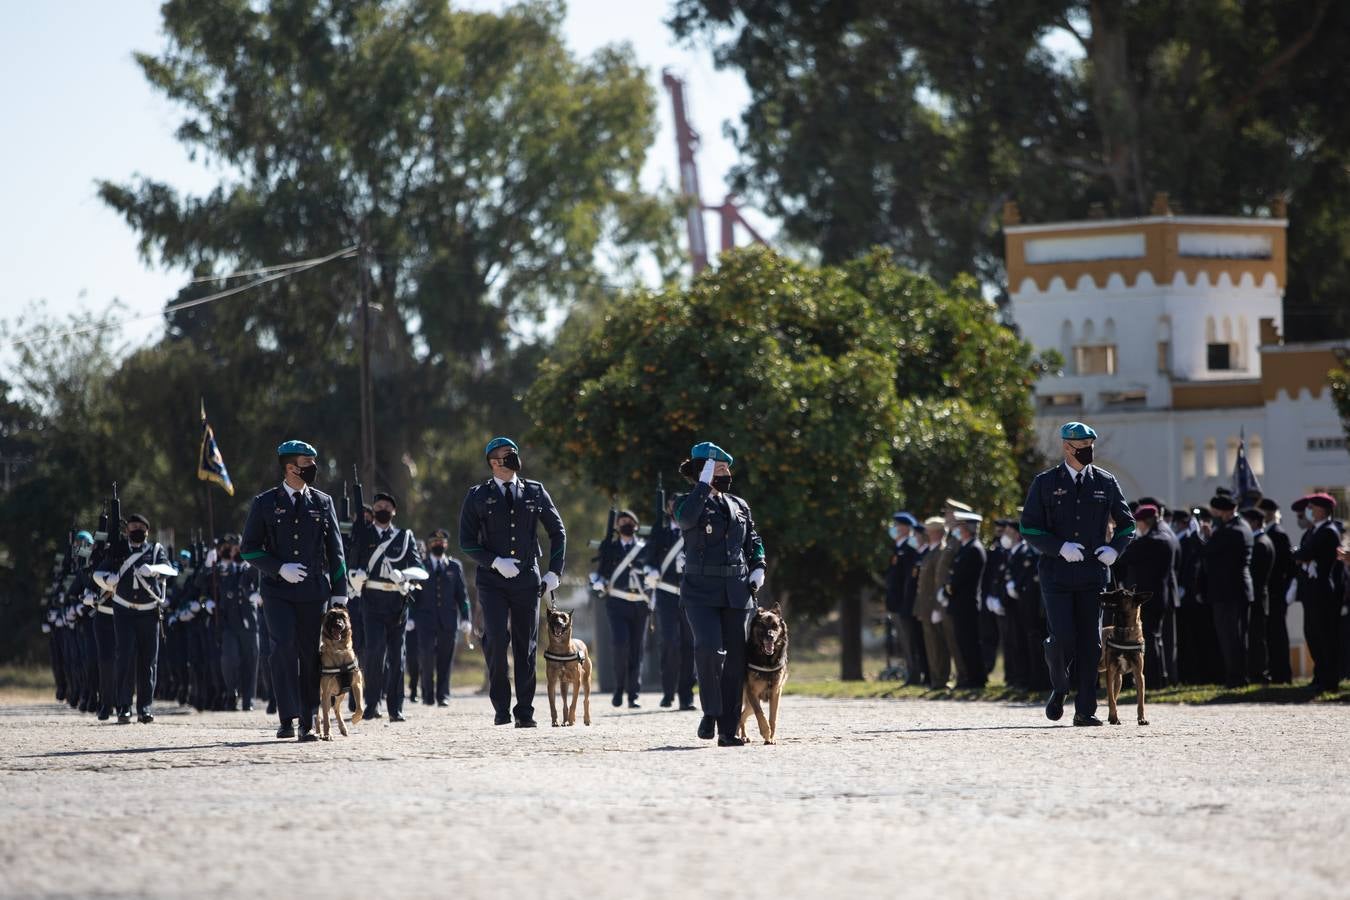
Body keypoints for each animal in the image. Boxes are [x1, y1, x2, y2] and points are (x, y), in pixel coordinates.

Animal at [318, 604, 367, 739]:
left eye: (343, 617)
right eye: (331, 616)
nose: (338, 625)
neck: (338, 650)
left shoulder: (357, 684)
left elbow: (360, 707)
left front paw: (355, 719)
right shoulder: (326, 692)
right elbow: (326, 717)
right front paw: (327, 734)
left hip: (341, 693)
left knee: (336, 708)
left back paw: (343, 727)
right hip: (322, 696)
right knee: (319, 715)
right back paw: (319, 732)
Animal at [739, 599, 788, 744]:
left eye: (775, 626)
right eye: (762, 625)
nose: (770, 637)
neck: (767, 661)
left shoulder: (775, 693)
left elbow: (773, 718)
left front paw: (771, 737)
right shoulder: (752, 692)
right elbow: (760, 714)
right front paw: (766, 732)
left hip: (749, 704)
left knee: (742, 716)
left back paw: (742, 735)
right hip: (747, 699)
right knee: (739, 715)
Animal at [1096, 588, 1150, 728]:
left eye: (1121, 594)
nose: (1100, 594)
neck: (1125, 629)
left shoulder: (1138, 674)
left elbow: (1140, 701)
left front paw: (1142, 719)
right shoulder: (1110, 672)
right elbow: (1111, 699)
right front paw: (1115, 718)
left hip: (1119, 680)